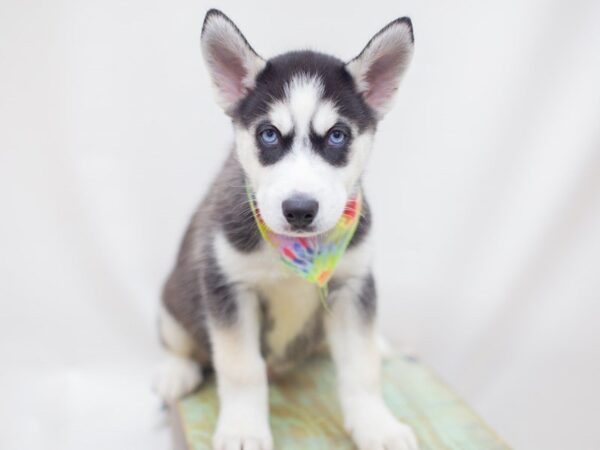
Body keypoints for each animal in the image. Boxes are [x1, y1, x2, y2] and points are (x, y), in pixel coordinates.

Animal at [156, 7, 418, 450]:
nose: (299, 210)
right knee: (177, 342)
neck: (302, 255)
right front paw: (243, 429)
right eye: (268, 134)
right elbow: (242, 368)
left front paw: (377, 426)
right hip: (173, 301)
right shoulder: (229, 287)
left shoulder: (352, 286)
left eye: (337, 136)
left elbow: (362, 367)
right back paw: (176, 372)